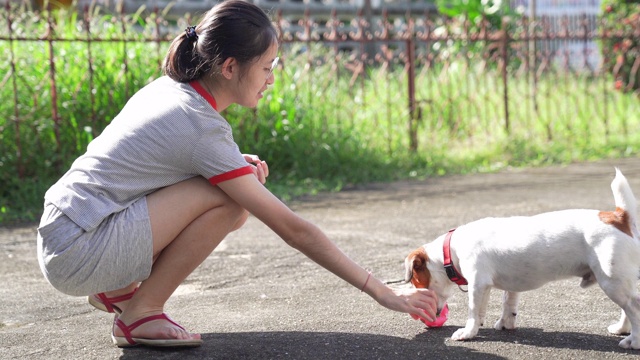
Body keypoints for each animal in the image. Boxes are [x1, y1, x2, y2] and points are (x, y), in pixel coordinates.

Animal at [404, 168, 640, 348]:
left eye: (415, 281)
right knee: (627, 308)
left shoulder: (477, 283)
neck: (451, 250)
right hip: (617, 282)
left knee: (634, 307)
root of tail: (618, 217)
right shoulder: (498, 286)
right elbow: (505, 303)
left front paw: (468, 332)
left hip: (611, 281)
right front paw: (503, 322)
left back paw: (633, 341)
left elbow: (473, 310)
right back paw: (621, 329)